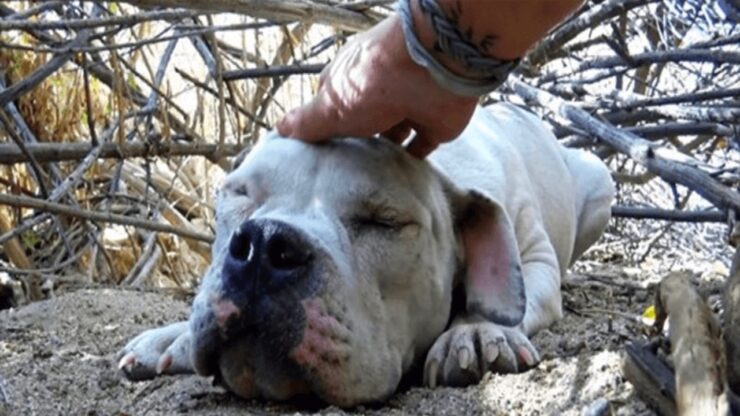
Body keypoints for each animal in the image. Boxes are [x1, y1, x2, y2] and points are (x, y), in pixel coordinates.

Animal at [117, 103, 612, 406]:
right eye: (239, 193)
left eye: (384, 222)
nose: (264, 243)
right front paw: (172, 338)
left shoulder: (536, 259)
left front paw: (476, 332)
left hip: (600, 181)